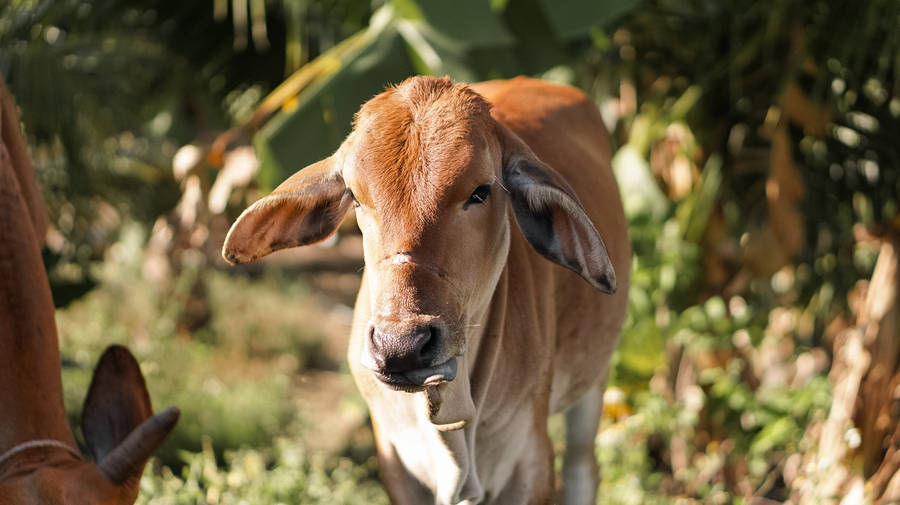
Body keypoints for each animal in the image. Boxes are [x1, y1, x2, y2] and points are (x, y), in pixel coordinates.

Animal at [223, 76, 629, 504]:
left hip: (594, 383)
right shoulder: (394, 458)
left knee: (582, 469)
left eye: (481, 191)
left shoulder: (530, 459)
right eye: (355, 196)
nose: (400, 345)